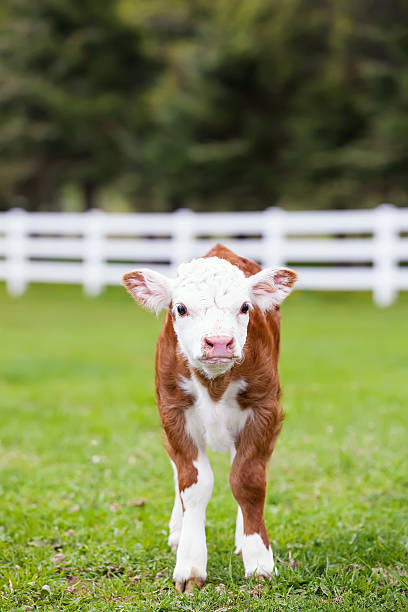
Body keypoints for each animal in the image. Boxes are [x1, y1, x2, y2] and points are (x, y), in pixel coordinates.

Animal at [122, 244, 296, 592]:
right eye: (180, 308)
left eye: (245, 306)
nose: (219, 342)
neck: (214, 383)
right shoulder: (173, 412)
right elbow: (193, 483)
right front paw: (189, 564)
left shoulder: (264, 409)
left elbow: (247, 479)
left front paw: (259, 560)